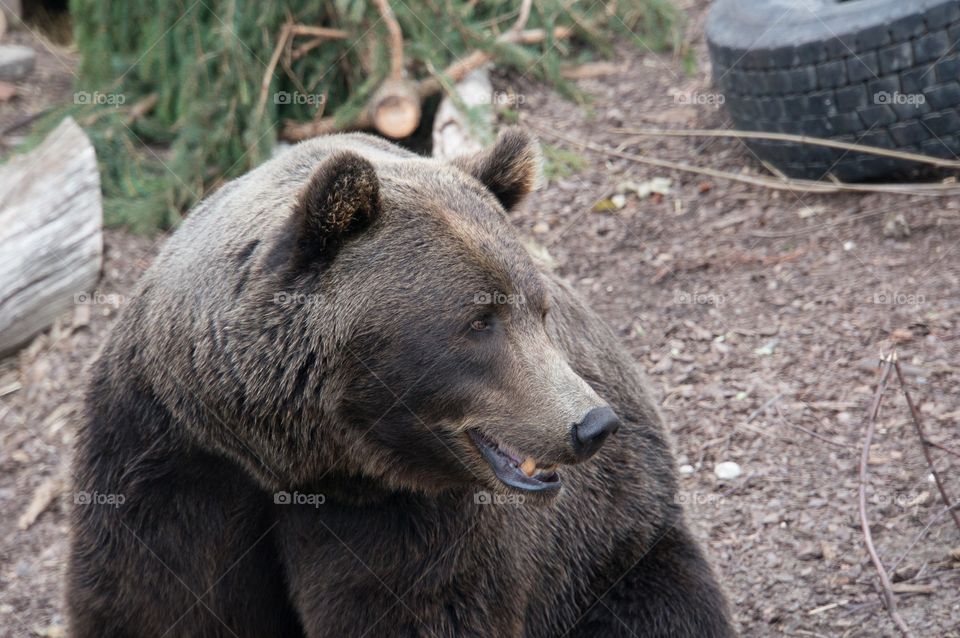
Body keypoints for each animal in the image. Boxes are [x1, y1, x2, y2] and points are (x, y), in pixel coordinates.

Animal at [67, 127, 732, 636]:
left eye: (539, 310)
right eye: (479, 320)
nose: (592, 424)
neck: (295, 460)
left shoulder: (417, 524)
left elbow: (418, 609)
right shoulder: (168, 464)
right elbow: (154, 603)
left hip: (614, 550)